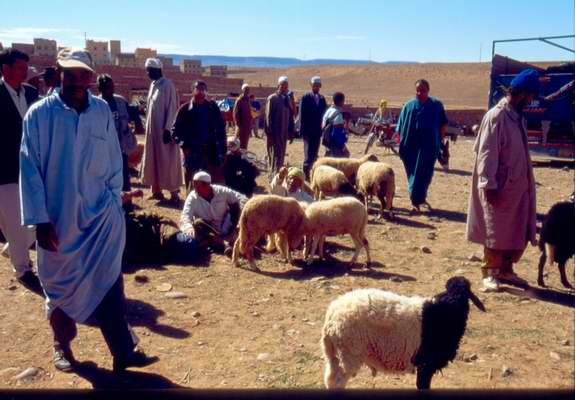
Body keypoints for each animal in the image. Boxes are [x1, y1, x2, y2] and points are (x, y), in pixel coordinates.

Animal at [322, 276, 488, 390]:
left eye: (466, 295)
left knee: (329, 380)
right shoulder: (425, 364)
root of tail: (332, 313)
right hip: (349, 353)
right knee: (337, 383)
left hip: (334, 355)